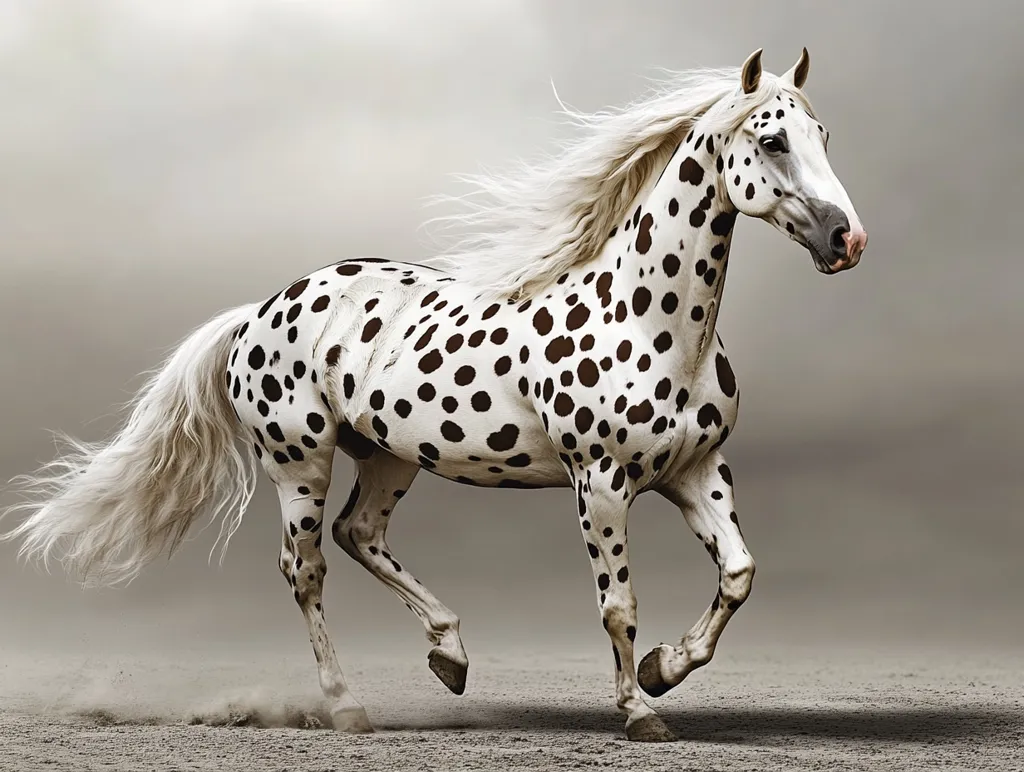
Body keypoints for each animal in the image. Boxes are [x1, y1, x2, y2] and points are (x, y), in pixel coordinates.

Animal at [1, 48, 867, 742]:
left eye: (824, 136)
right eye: (772, 140)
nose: (846, 240)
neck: (651, 319)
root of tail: (257, 312)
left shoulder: (696, 471)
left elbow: (739, 574)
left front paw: (663, 668)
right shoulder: (601, 484)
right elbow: (617, 604)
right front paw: (640, 712)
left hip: (388, 458)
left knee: (360, 535)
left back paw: (448, 654)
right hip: (300, 463)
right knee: (306, 569)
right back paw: (347, 705)